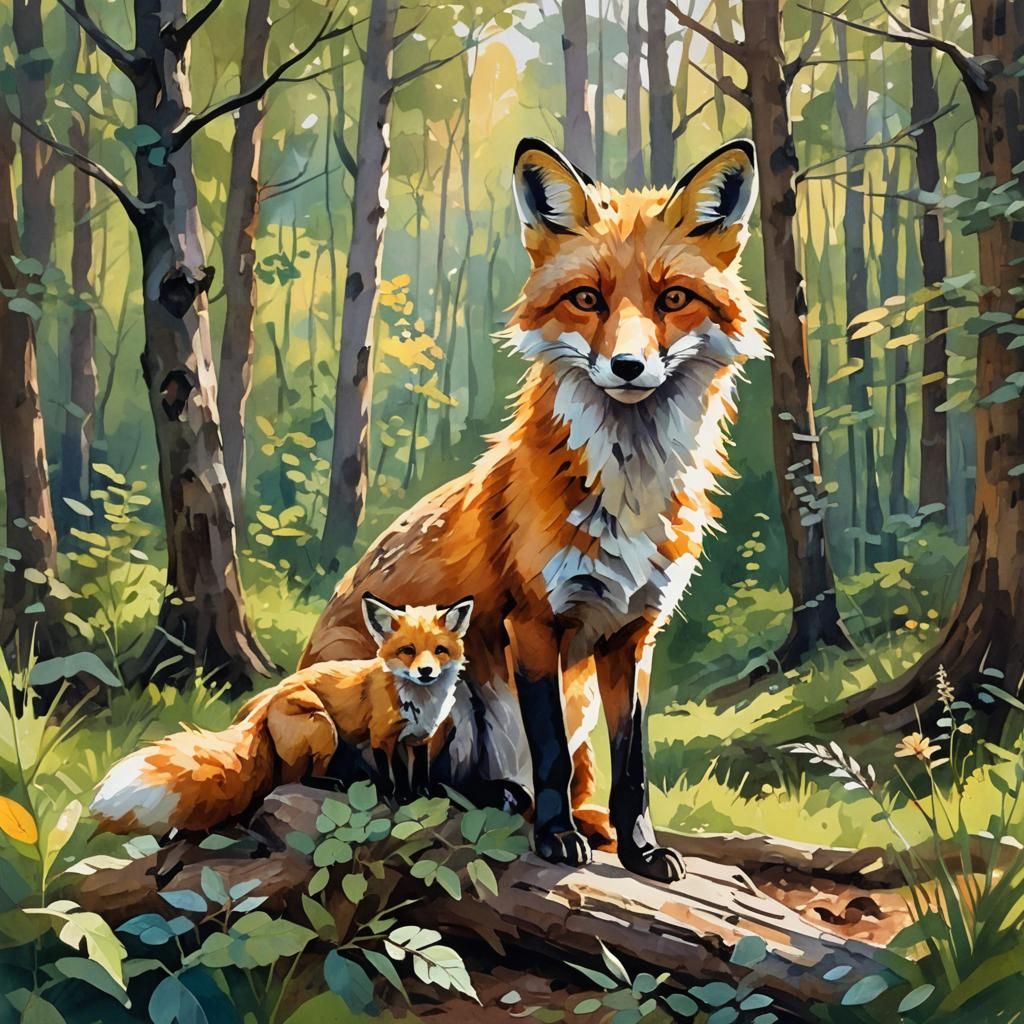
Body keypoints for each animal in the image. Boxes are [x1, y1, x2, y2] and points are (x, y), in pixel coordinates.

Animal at [91, 596, 476, 837]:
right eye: (407, 650)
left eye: (440, 650)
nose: (425, 672)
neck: (420, 702)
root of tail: (267, 699)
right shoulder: (381, 736)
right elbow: (391, 775)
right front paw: (396, 797)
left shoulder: (420, 738)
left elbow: (420, 772)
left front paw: (422, 797)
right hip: (324, 729)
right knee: (295, 779)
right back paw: (337, 783)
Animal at [300, 137, 766, 881]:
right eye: (586, 299)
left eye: (673, 298)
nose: (628, 366)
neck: (628, 494)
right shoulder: (535, 623)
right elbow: (548, 755)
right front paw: (555, 839)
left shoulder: (634, 634)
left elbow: (631, 768)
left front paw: (638, 850)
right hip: (444, 687)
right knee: (413, 780)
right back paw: (503, 802)